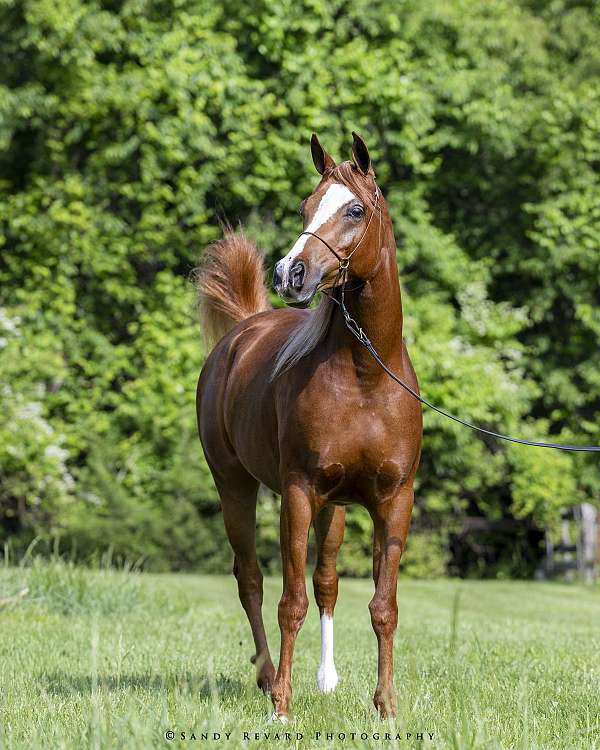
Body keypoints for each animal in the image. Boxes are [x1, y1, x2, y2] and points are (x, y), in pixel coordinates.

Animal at [195, 132, 422, 721]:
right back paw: (266, 677)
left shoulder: (394, 501)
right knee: (251, 579)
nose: (289, 274)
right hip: (236, 486)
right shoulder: (298, 493)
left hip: (334, 509)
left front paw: (386, 706)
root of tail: (243, 331)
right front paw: (282, 703)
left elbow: (381, 605)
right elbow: (289, 600)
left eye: (355, 209)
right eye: (304, 207)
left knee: (326, 584)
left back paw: (325, 679)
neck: (366, 378)